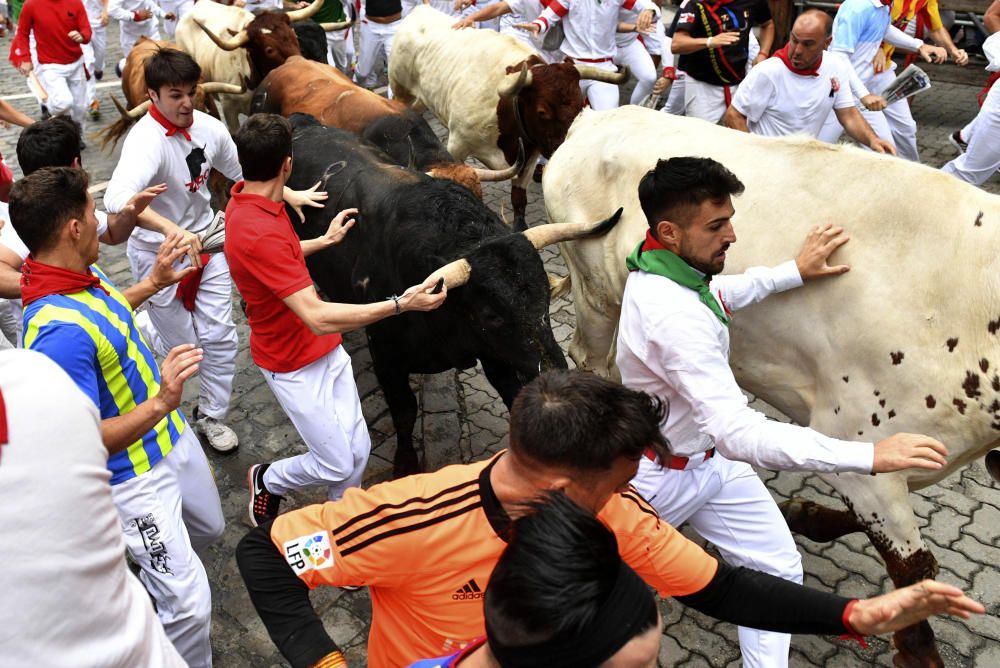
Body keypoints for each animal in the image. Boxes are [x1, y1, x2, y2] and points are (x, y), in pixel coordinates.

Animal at [286, 115, 620, 474]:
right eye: (492, 314)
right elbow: (404, 411)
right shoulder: (385, 353)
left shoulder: (495, 353)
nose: (557, 372)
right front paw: (405, 464)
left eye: (546, 298)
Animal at [548, 105, 1000, 668]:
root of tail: (598, 116)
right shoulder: (861, 442)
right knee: (592, 360)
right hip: (594, 295)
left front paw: (802, 514)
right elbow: (914, 568)